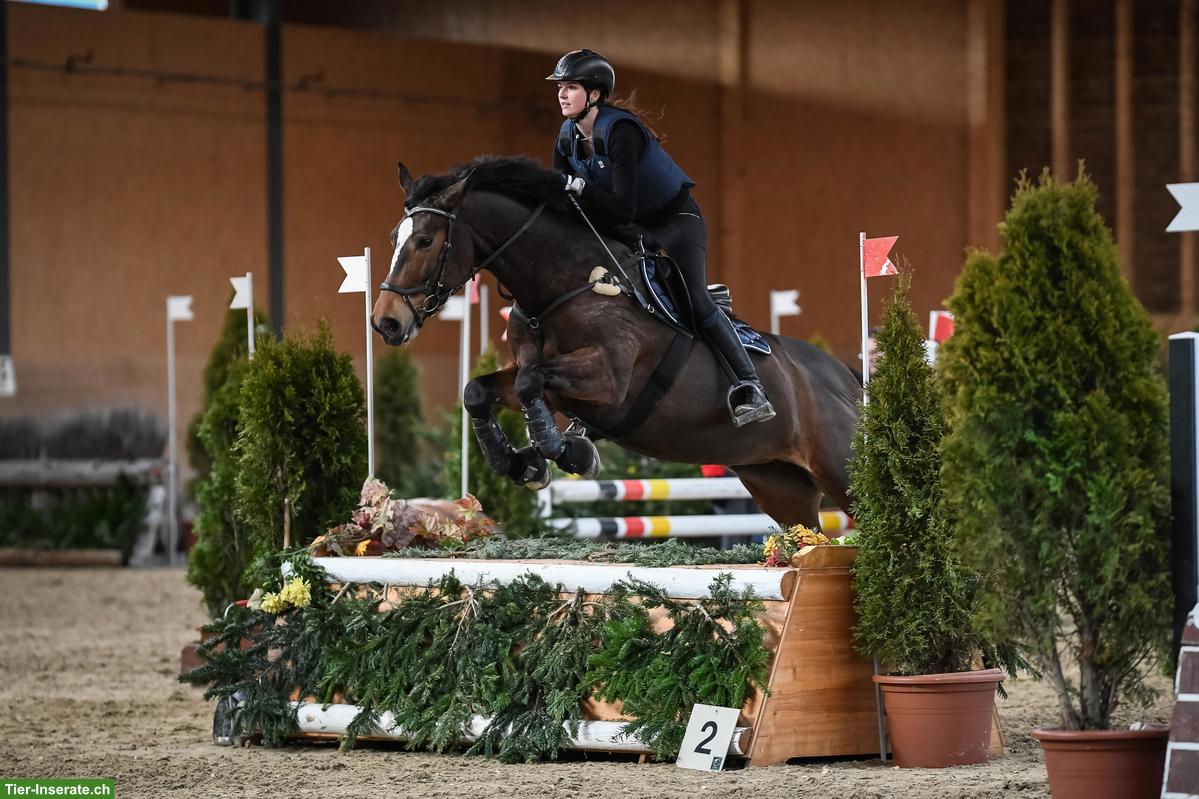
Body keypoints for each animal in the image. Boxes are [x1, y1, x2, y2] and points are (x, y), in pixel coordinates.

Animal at [371, 155, 862, 530]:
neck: (562, 285)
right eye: (394, 238)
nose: (385, 322)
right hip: (779, 485)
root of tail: (849, 381)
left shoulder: (609, 379)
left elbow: (532, 383)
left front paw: (567, 453)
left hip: (841, 471)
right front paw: (522, 463)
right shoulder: (550, 383)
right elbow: (482, 390)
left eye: (425, 240)